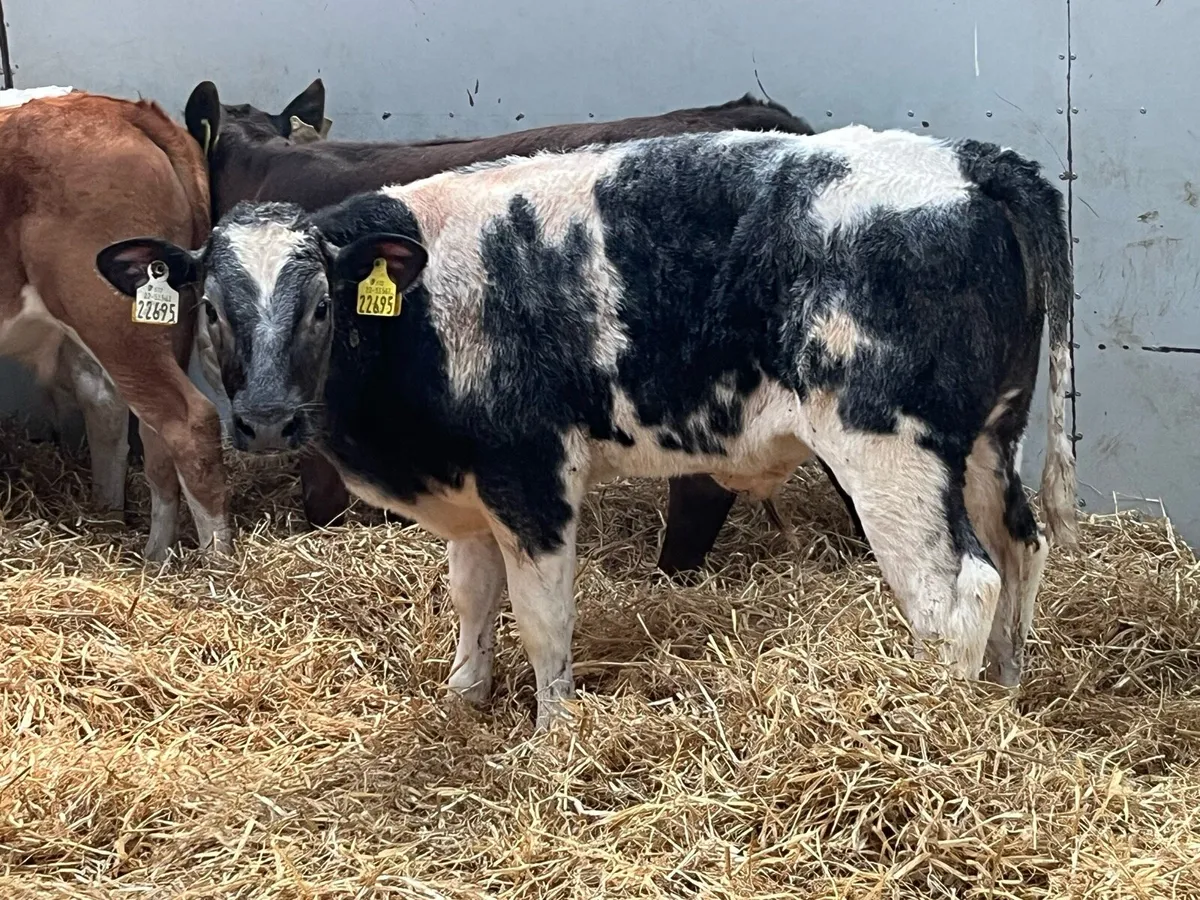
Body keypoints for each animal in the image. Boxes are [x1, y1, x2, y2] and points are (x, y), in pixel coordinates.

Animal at [0, 88, 229, 560]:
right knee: (133, 424)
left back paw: (218, 565)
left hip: (110, 322)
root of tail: (122, 109)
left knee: (190, 421)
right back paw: (148, 553)